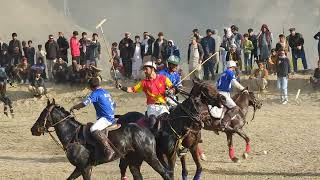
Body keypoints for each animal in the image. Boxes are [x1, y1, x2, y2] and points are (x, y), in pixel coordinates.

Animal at [30, 99, 172, 179]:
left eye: (43, 114)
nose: (33, 129)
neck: (72, 135)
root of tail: (148, 130)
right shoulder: (81, 168)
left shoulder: (84, 167)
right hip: (134, 161)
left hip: (150, 157)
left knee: (165, 173)